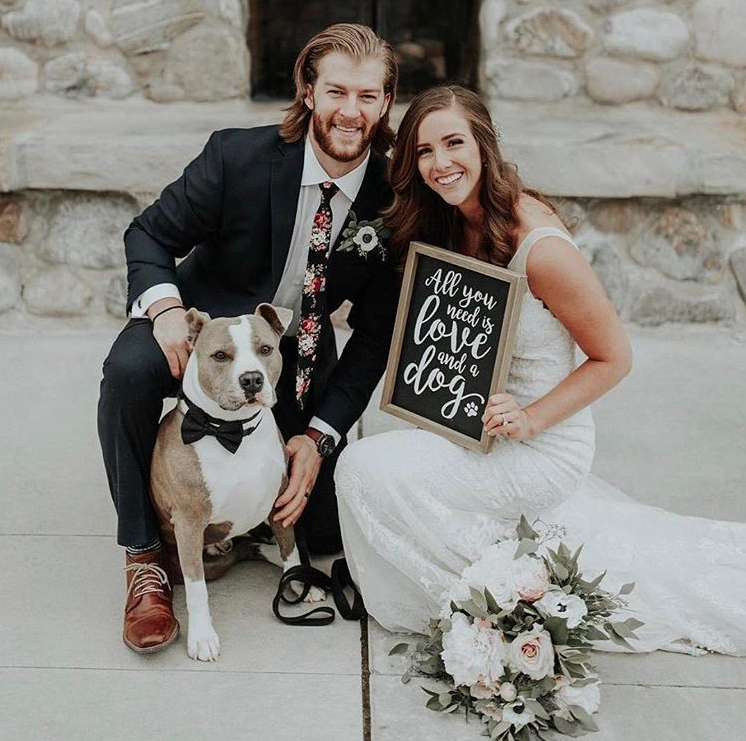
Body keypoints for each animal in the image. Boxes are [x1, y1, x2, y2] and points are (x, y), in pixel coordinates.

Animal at [150, 300, 322, 660]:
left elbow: (290, 550)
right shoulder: (188, 524)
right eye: (220, 355)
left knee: (252, 547)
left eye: (265, 349)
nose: (252, 379)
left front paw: (298, 581)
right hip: (189, 557)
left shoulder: (280, 504)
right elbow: (197, 590)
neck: (232, 431)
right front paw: (202, 636)